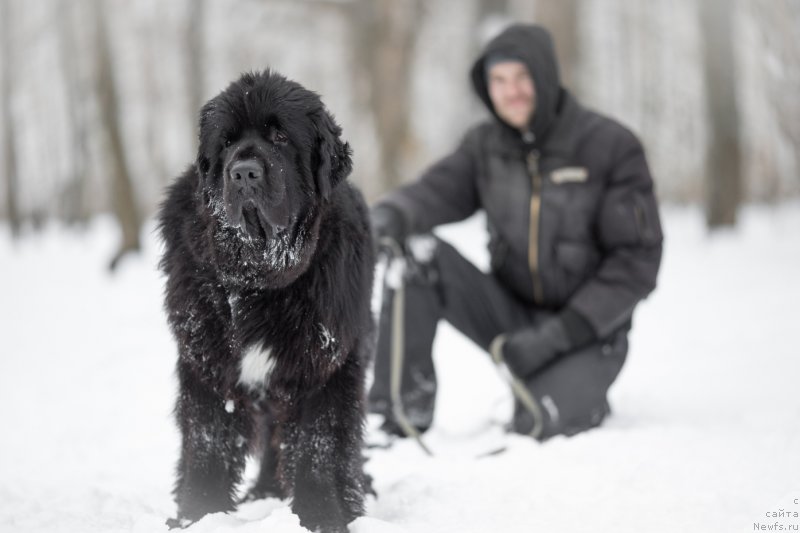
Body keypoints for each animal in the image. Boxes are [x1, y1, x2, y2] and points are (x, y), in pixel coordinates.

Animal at [160, 70, 378, 532]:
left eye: (280, 136)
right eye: (226, 143)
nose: (243, 173)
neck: (258, 279)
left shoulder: (322, 367)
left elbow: (318, 446)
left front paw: (321, 516)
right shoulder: (207, 364)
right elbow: (207, 444)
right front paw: (197, 515)